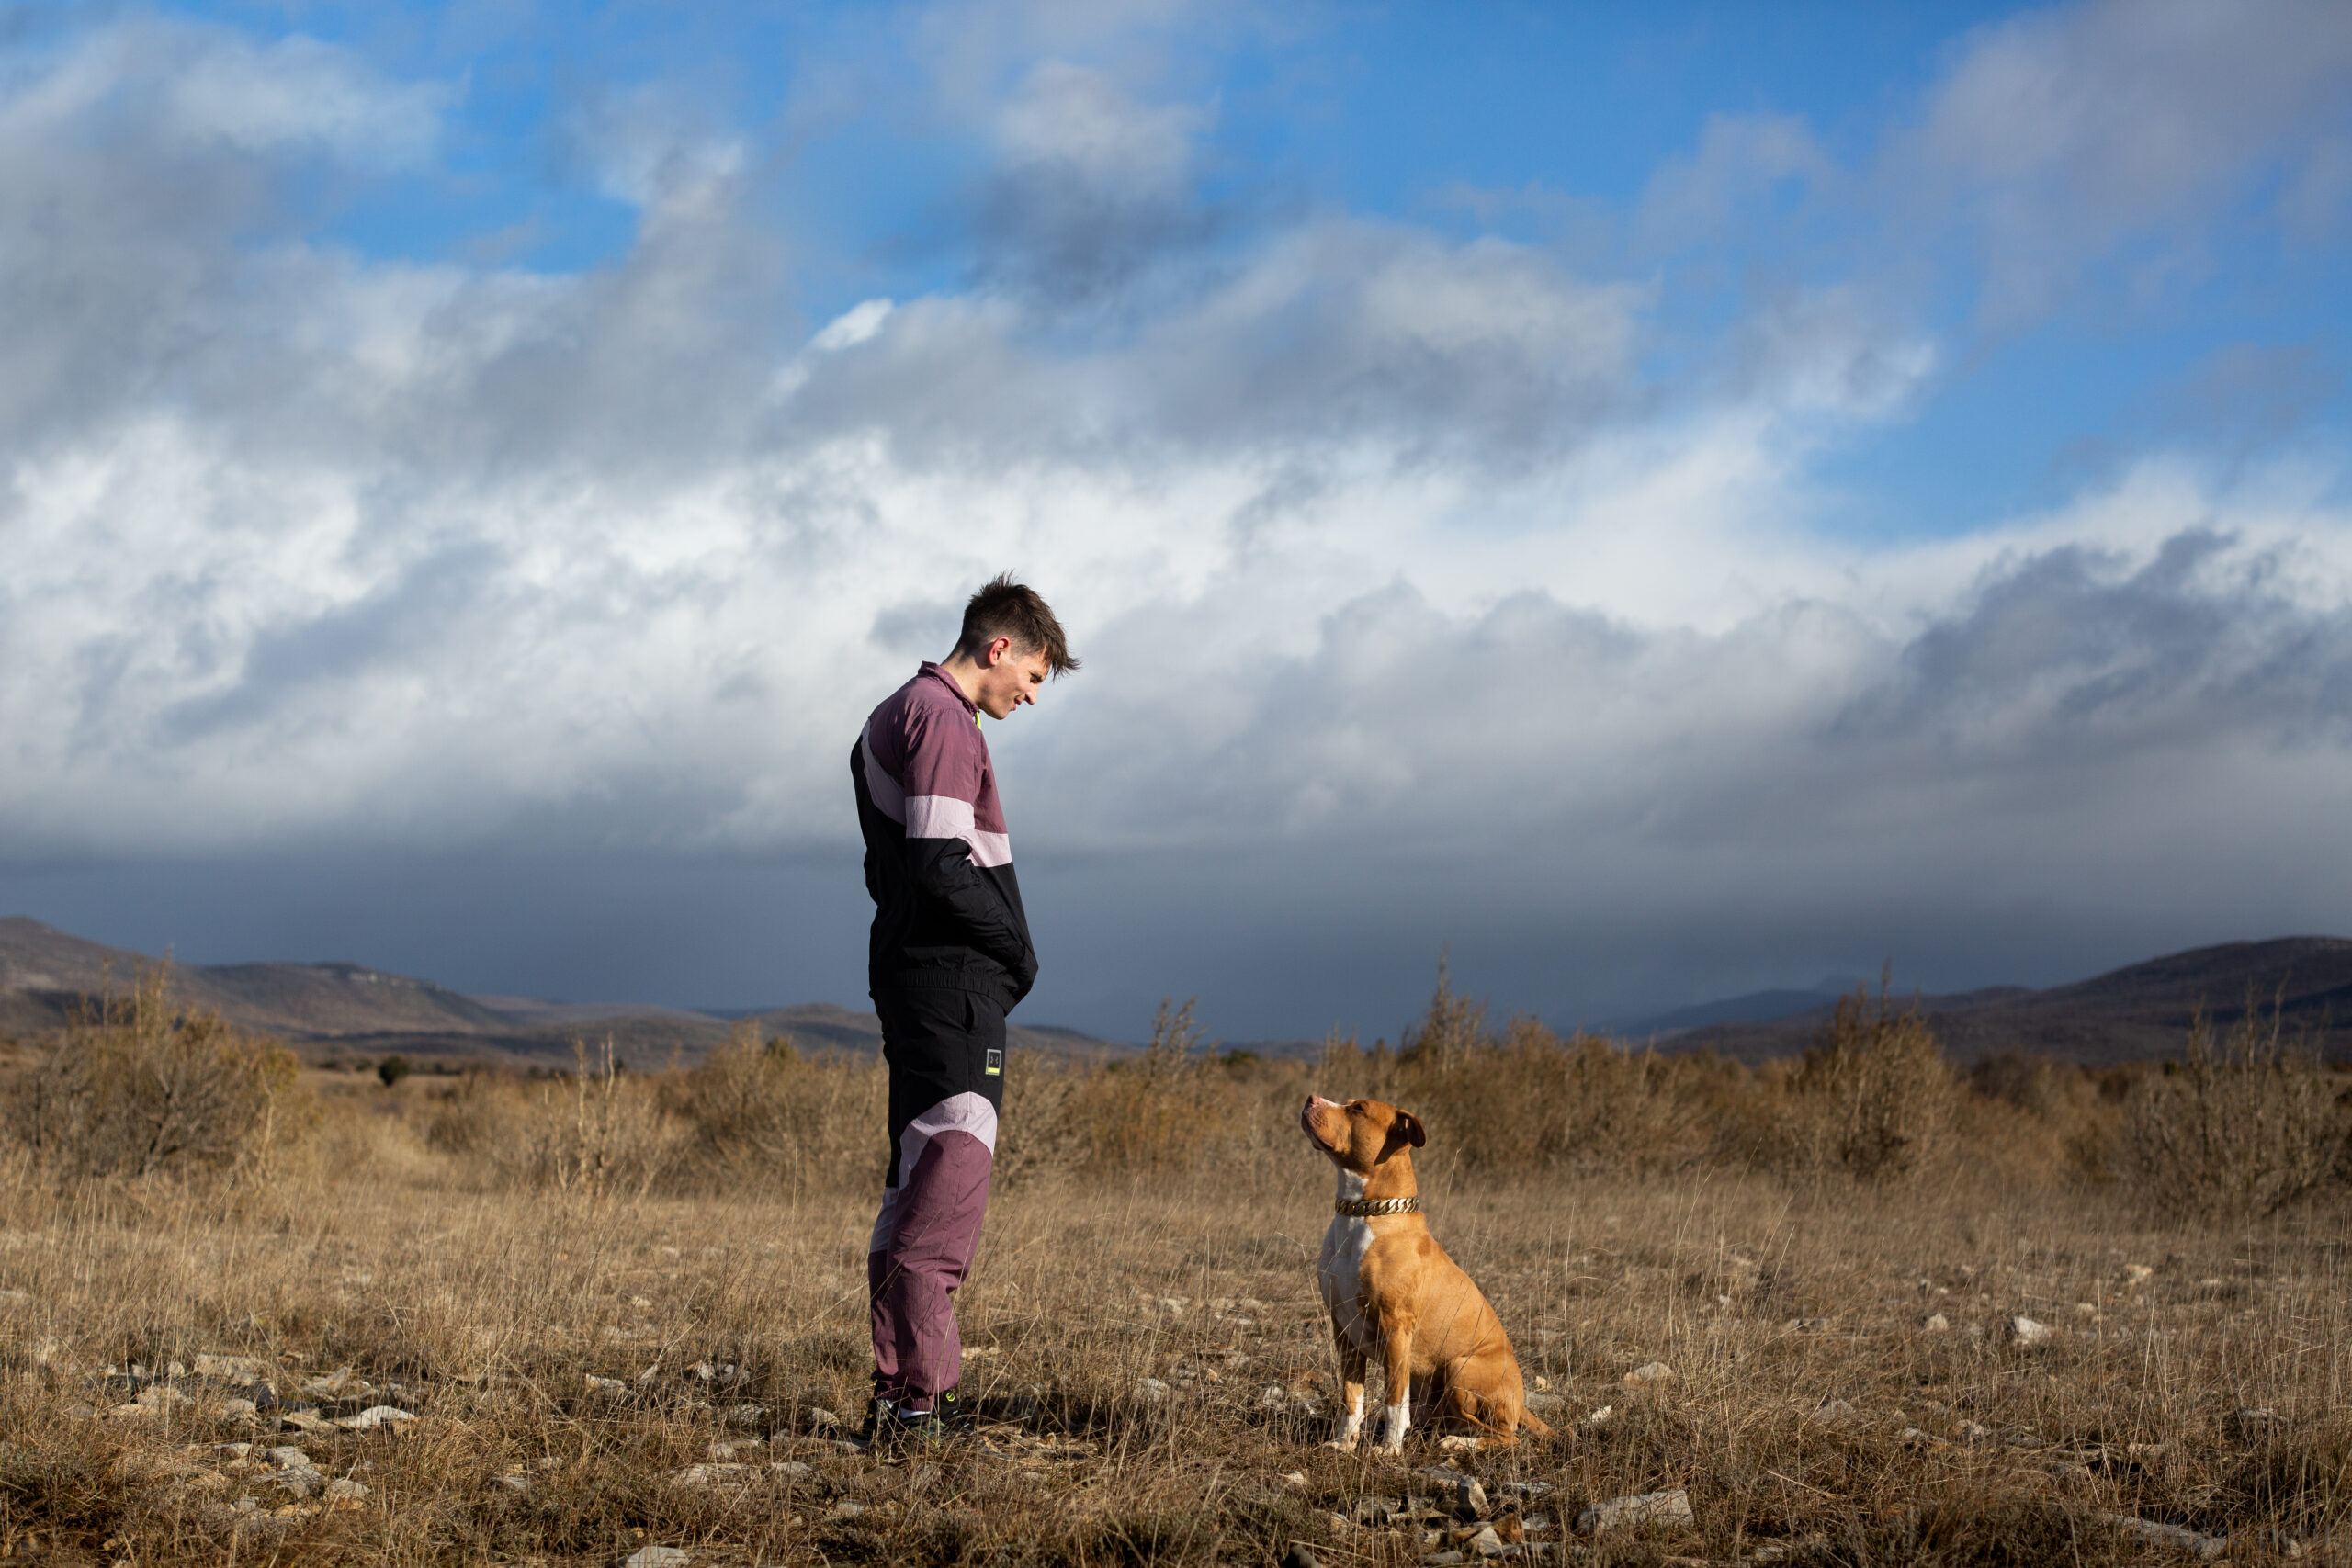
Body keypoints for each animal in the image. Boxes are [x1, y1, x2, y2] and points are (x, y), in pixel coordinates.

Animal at [1298, 1100, 1552, 1457]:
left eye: (1358, 1108)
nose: (1311, 1099)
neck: (1363, 1212)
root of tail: (1522, 1402)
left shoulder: (1396, 1328)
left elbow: (1393, 1399)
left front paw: (1389, 1450)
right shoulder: (1343, 1328)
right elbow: (1351, 1395)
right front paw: (1343, 1442)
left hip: (1460, 1368)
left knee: (1505, 1435)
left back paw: (1457, 1443)